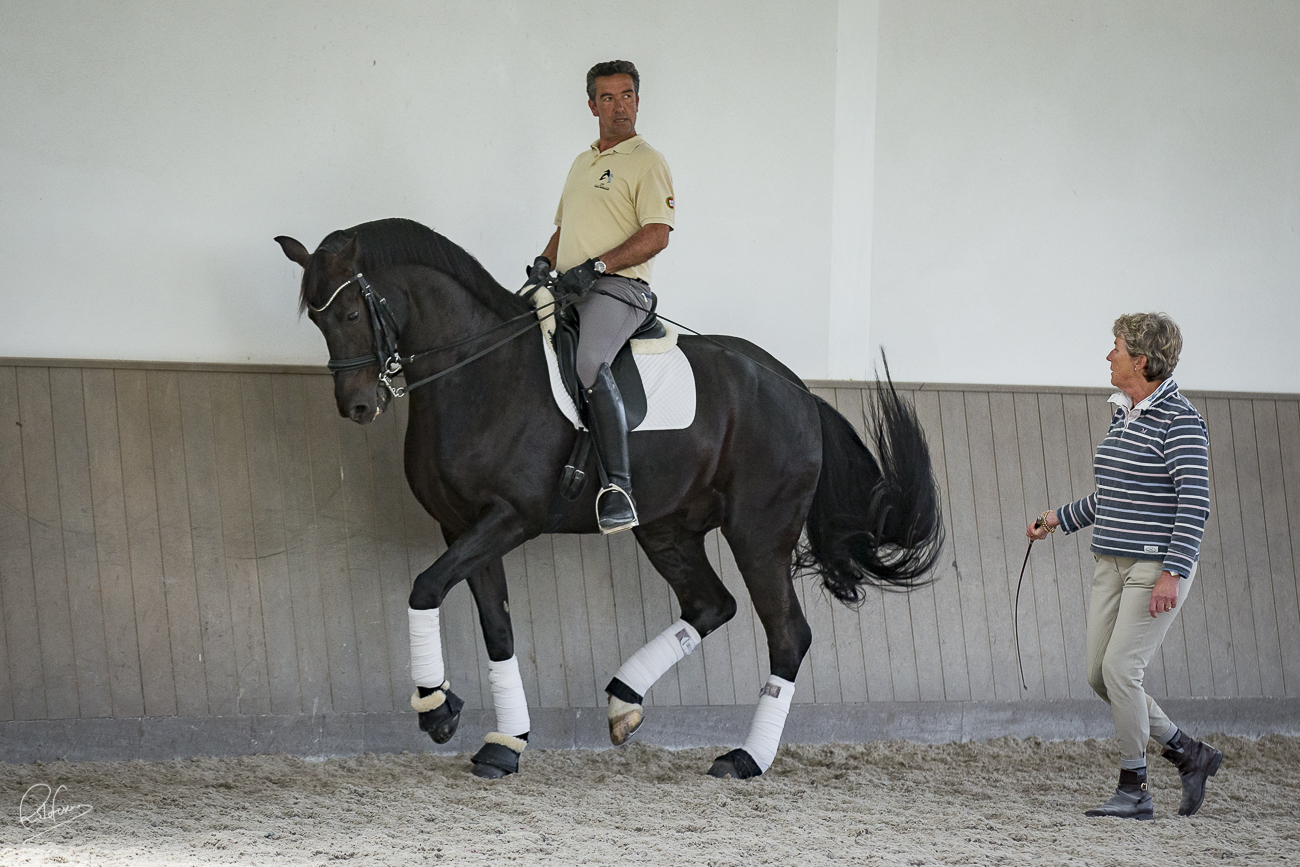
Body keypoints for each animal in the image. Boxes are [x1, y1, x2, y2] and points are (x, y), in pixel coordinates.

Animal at [276, 217, 946, 779]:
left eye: (351, 314)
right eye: (318, 321)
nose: (357, 407)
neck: (478, 373)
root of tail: (798, 390)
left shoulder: (512, 517)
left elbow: (424, 587)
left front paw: (437, 709)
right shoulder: (462, 526)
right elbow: (496, 627)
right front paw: (504, 744)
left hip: (758, 532)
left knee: (787, 634)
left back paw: (745, 759)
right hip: (667, 528)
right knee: (711, 605)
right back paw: (624, 701)